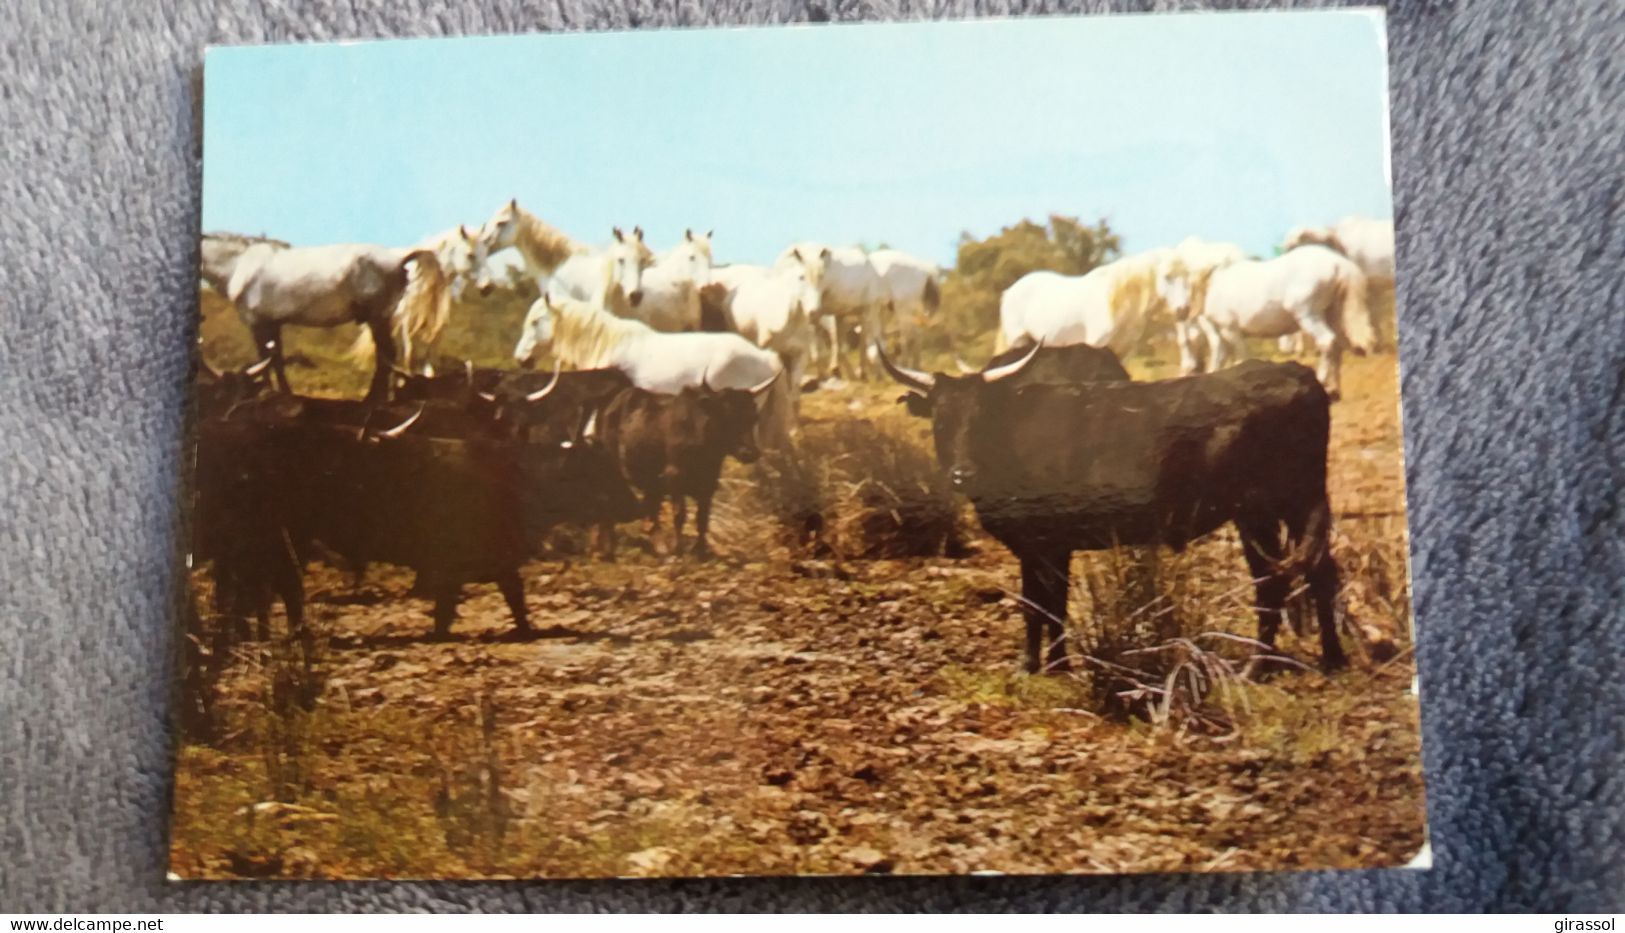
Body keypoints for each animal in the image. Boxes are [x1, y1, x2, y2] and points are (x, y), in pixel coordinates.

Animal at [206, 235, 455, 399]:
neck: (240, 264)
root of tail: (398, 256)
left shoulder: (258, 324)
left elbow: (264, 362)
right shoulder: (273, 324)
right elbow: (275, 360)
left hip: (378, 319)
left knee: (386, 357)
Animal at [884, 341, 1352, 672]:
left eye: (980, 416)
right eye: (941, 420)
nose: (961, 474)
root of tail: (1295, 372)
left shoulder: (1043, 543)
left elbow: (1040, 604)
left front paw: (1039, 666)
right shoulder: (1047, 546)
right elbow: (1048, 604)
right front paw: (1050, 664)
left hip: (1261, 510)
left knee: (1272, 581)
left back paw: (1257, 668)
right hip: (1293, 505)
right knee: (1319, 572)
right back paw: (1332, 658)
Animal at [994, 248, 1189, 357]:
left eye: (1187, 276)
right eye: (1167, 276)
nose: (1184, 310)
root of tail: (1009, 292)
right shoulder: (1096, 344)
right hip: (1018, 341)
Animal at [1189, 240, 1378, 398]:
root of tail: (1338, 263)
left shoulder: (1230, 330)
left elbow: (1241, 358)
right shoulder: (1224, 334)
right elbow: (1219, 359)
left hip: (1309, 316)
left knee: (1327, 341)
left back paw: (1322, 381)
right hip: (1333, 315)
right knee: (1337, 347)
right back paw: (1334, 390)